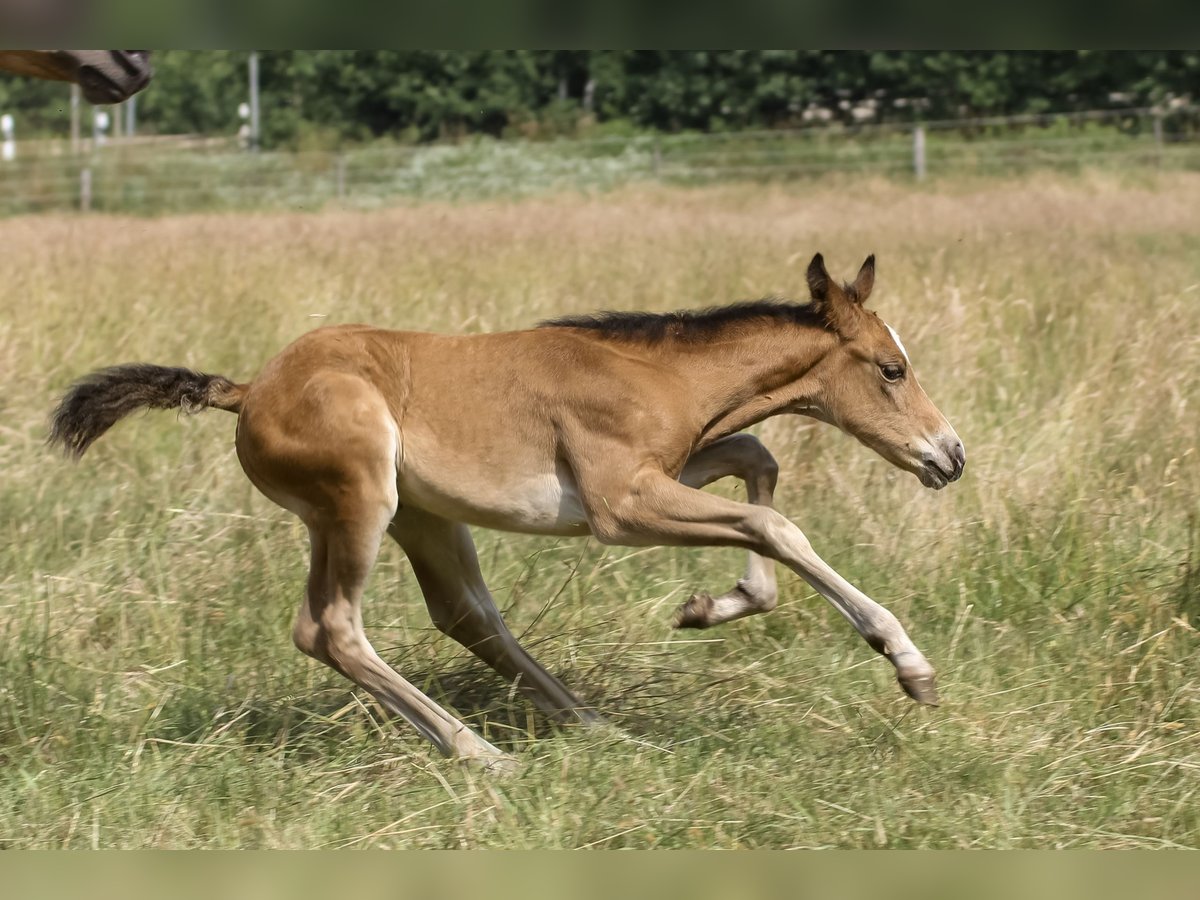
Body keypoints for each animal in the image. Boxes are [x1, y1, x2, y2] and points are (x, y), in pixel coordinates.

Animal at [49, 254, 964, 771]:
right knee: (331, 628)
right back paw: (481, 754)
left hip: (422, 516)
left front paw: (712, 606)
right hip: (361, 502)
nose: (950, 455)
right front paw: (908, 664)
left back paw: (600, 733)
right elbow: (776, 524)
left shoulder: (671, 469)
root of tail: (248, 390)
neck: (658, 373)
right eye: (890, 368)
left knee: (469, 617)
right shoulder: (619, 507)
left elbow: (759, 462)